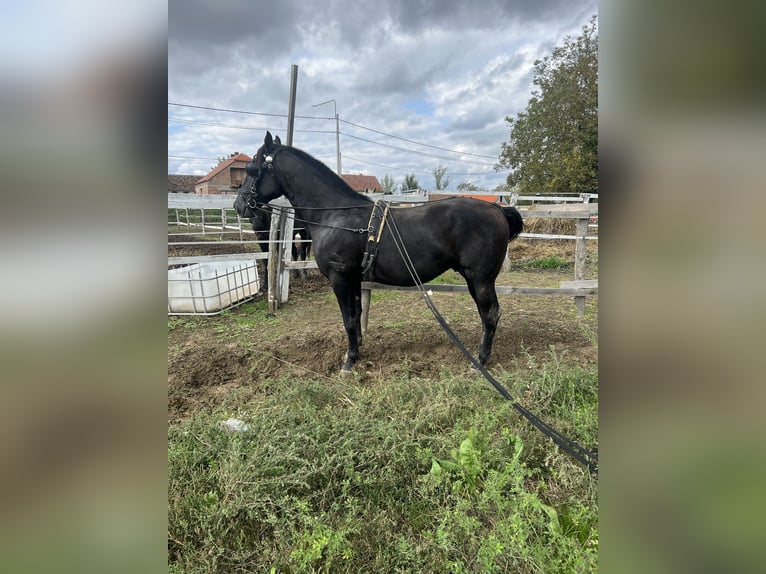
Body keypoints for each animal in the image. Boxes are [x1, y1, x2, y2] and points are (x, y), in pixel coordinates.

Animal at [234, 131, 520, 374]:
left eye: (252, 168)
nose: (239, 204)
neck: (335, 215)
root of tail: (497, 209)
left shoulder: (340, 278)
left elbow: (349, 319)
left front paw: (349, 361)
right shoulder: (354, 279)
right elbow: (357, 315)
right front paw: (357, 349)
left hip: (480, 278)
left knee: (490, 314)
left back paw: (480, 360)